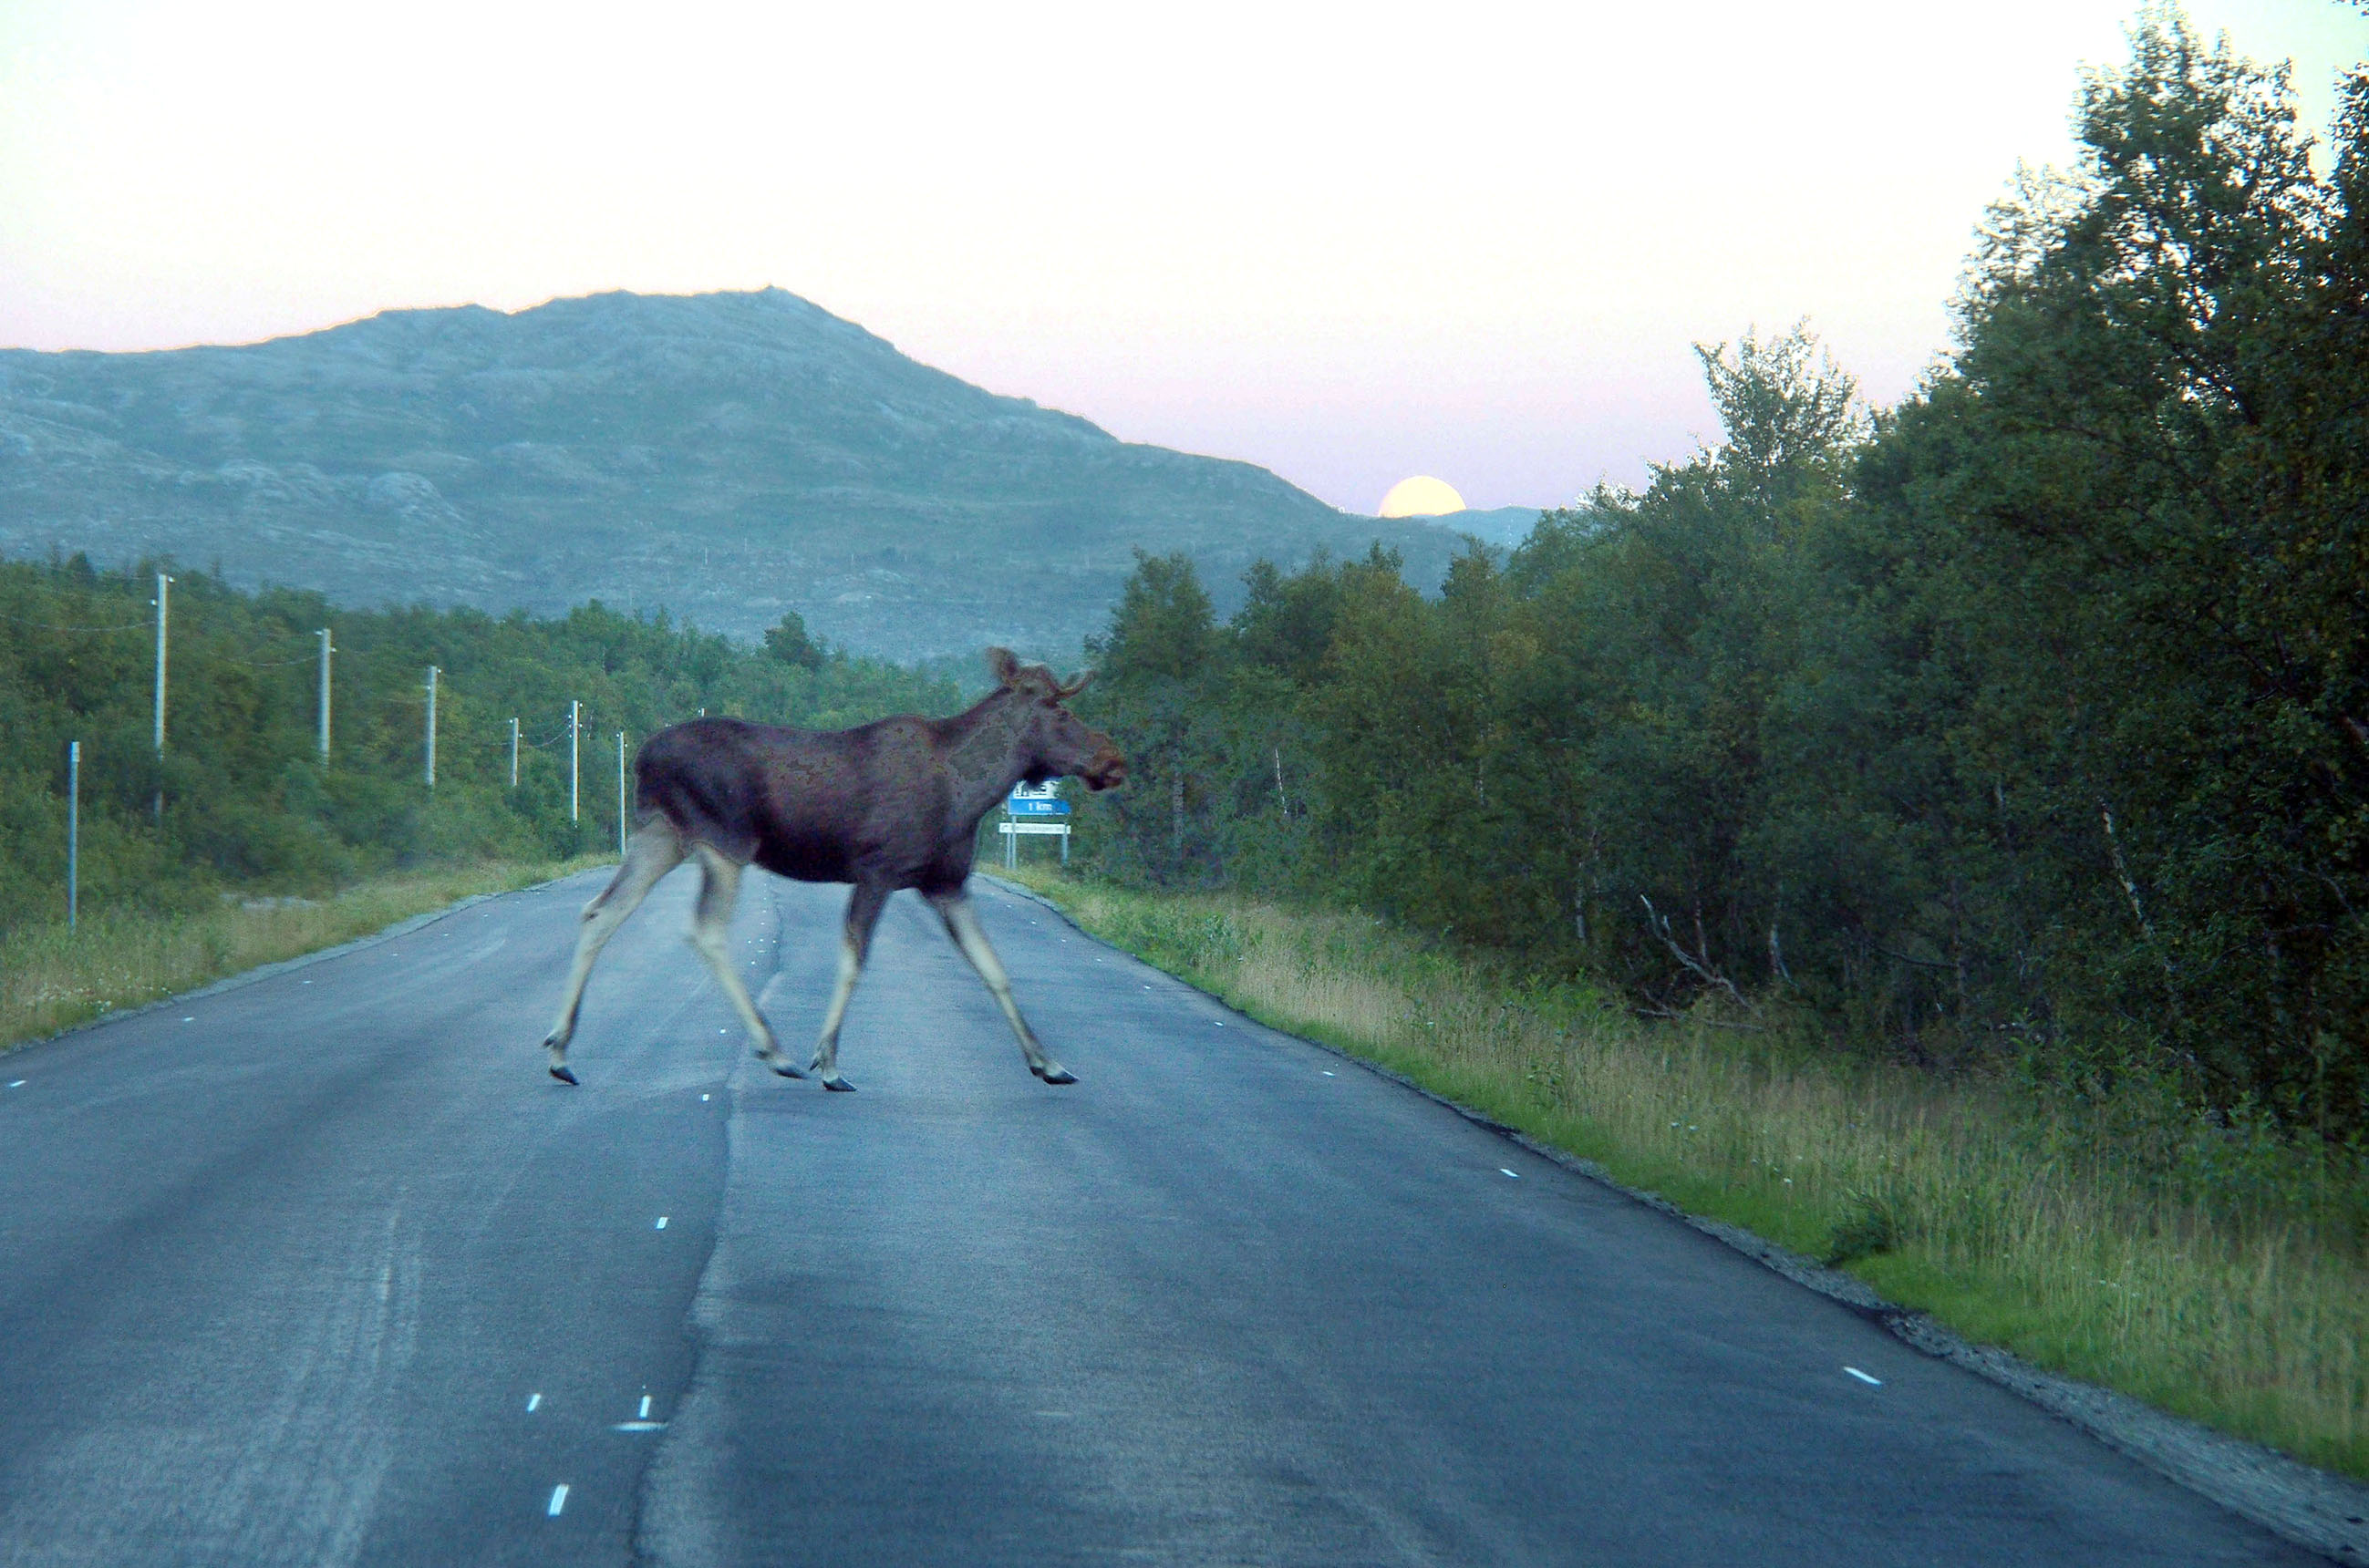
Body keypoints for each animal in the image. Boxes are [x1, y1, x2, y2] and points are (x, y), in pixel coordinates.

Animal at [542, 648, 1127, 1094]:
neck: (971, 792)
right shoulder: (878, 871)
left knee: (601, 912)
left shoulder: (947, 883)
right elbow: (852, 961)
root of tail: (642, 757)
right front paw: (828, 1061)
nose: (1114, 759)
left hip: (663, 835)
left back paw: (561, 1050)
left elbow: (994, 969)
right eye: (1059, 710)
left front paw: (1048, 1062)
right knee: (705, 930)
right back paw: (773, 1050)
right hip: (723, 840)